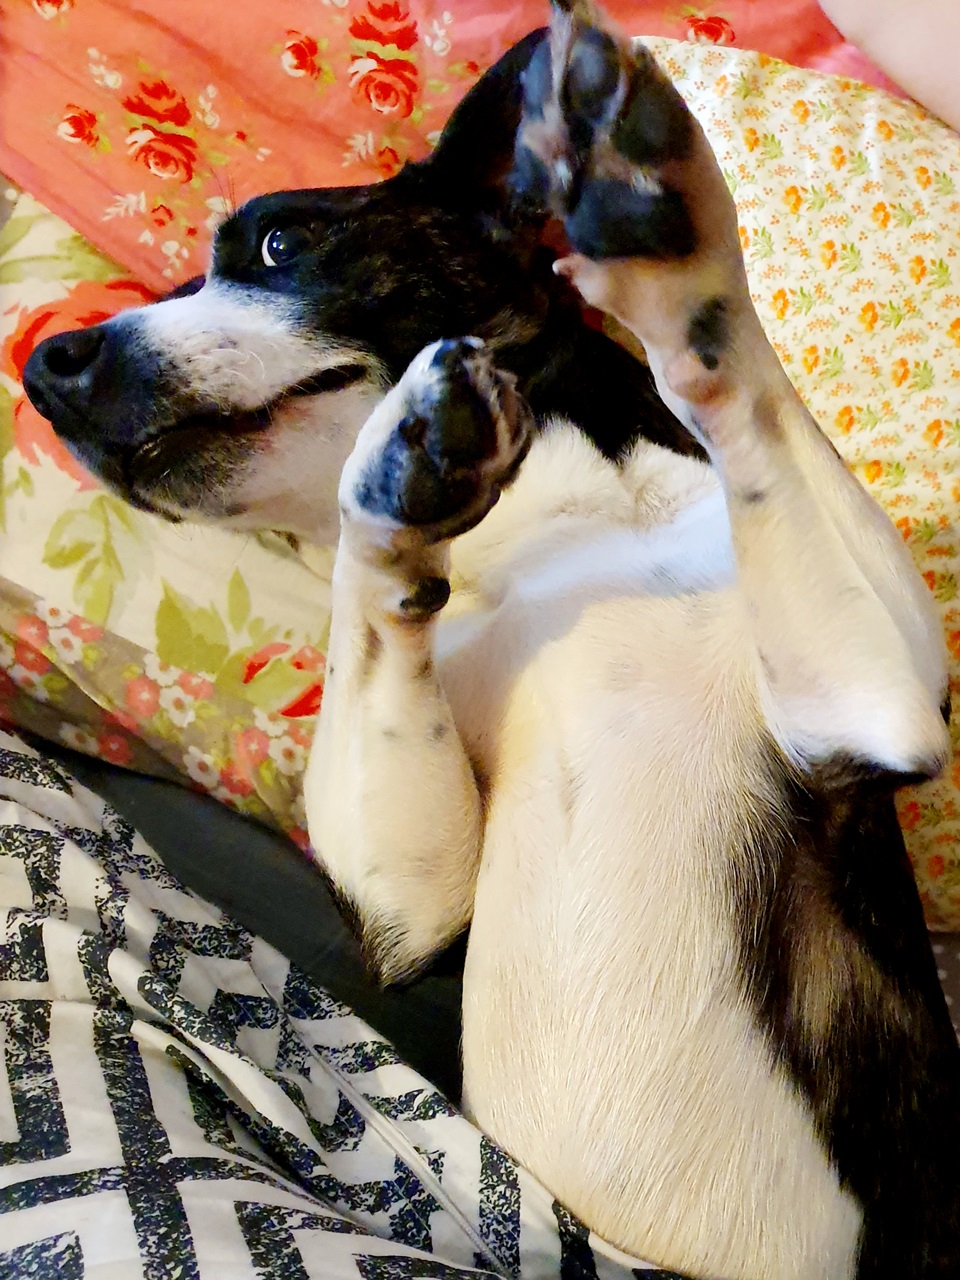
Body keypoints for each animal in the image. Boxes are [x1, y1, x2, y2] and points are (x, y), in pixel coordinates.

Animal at [22, 4, 960, 1276]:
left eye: (280, 241)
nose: (46, 364)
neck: (558, 532)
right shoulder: (409, 904)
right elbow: (373, 599)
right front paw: (395, 481)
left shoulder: (873, 706)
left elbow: (731, 375)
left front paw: (664, 238)